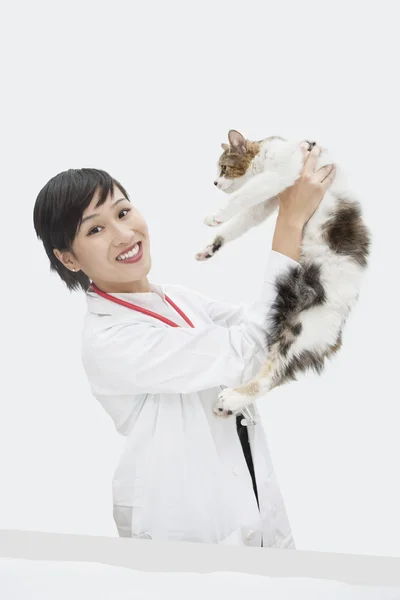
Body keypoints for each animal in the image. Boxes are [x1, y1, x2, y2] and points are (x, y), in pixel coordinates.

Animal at [195, 129, 370, 414]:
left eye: (224, 168)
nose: (214, 183)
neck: (265, 154)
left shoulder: (280, 175)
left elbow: (241, 197)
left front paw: (215, 216)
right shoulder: (267, 201)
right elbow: (240, 222)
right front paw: (210, 247)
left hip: (301, 331)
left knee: (273, 375)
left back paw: (232, 398)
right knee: (275, 373)